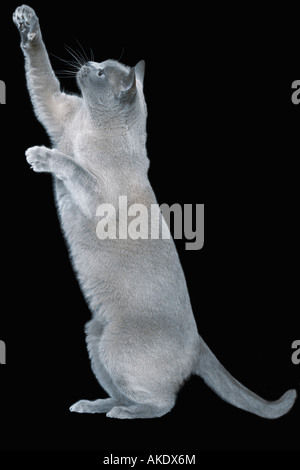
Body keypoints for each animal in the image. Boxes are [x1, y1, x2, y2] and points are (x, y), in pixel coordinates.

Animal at [12, 4, 296, 418]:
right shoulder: (55, 108)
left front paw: (41, 156)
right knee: (126, 392)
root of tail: (198, 340)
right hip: (95, 335)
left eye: (101, 73)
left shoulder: (96, 195)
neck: (90, 126)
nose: (86, 65)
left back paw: (123, 413)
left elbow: (73, 167)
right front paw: (27, 23)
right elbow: (40, 69)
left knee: (164, 403)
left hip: (115, 346)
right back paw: (93, 404)